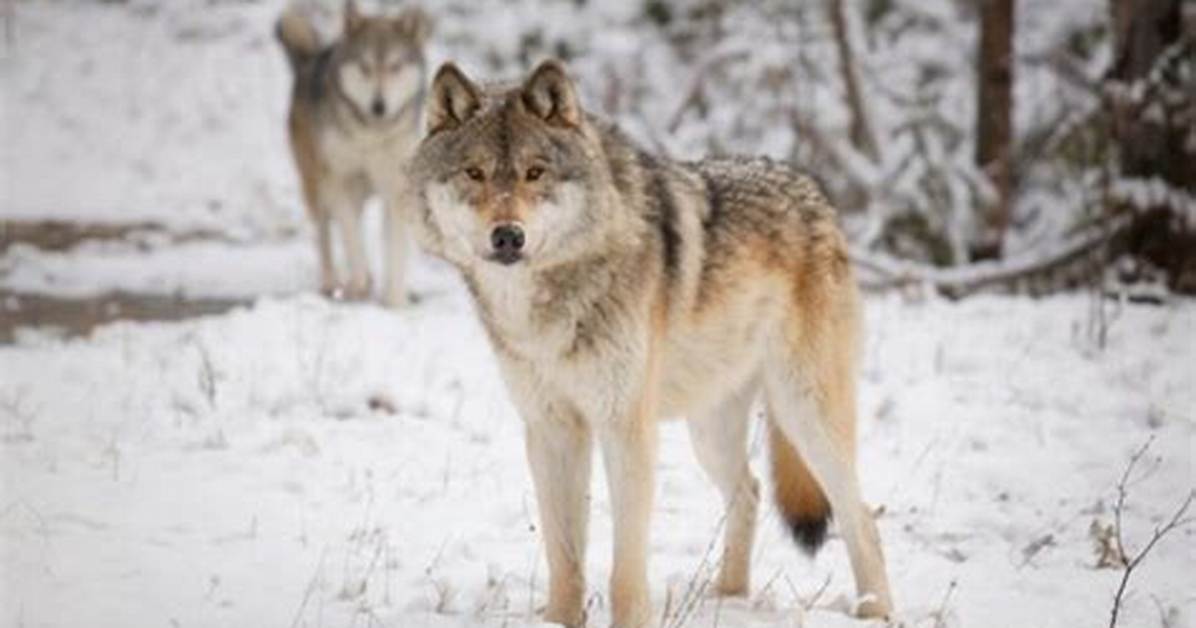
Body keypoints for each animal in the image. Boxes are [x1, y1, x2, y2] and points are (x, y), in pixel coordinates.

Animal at [276, 0, 431, 305]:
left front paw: (395, 301)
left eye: (395, 66)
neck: (370, 133)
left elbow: (394, 252)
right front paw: (359, 282)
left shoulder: (396, 188)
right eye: (365, 67)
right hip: (317, 186)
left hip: (359, 192)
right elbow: (352, 240)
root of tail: (310, 60)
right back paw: (334, 282)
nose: (378, 106)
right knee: (326, 234)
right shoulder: (339, 180)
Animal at [401, 60, 894, 626]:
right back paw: (728, 598)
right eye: (475, 174)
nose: (508, 236)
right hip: (711, 431)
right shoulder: (551, 429)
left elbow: (625, 568)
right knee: (749, 492)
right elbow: (564, 559)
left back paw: (874, 611)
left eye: (535, 173)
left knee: (860, 514)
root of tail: (814, 190)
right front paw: (560, 619)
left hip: (805, 415)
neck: (547, 305)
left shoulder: (625, 426)